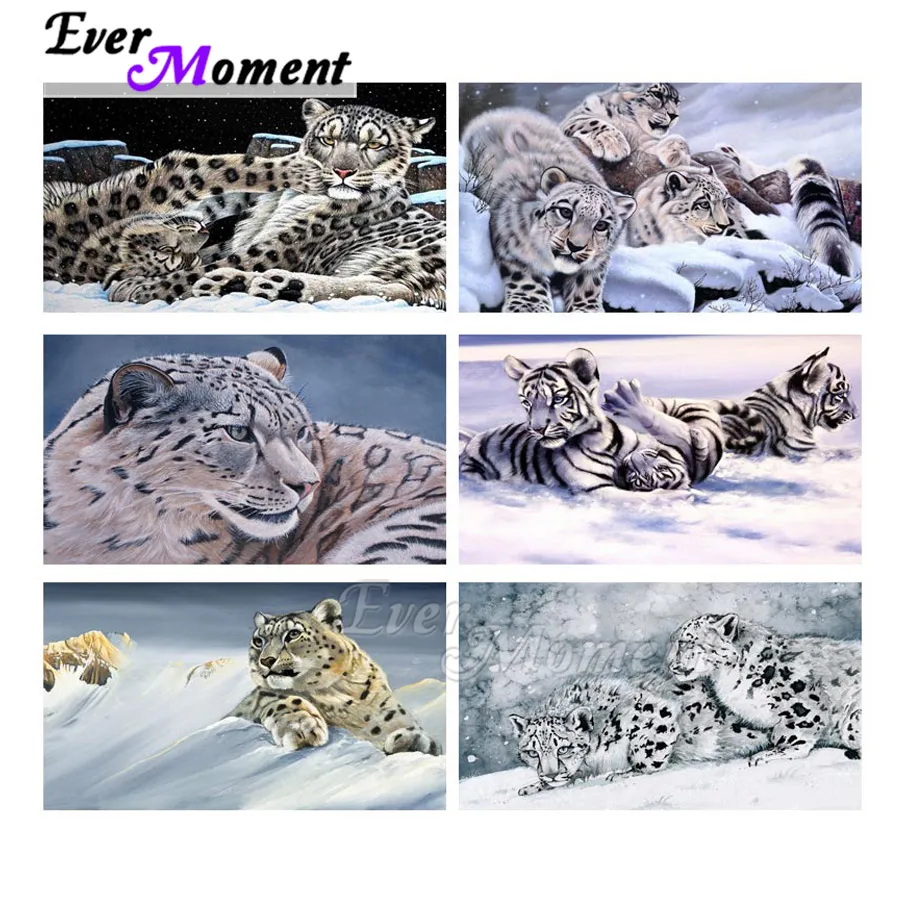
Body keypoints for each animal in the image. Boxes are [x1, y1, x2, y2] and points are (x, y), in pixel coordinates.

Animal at [230, 598, 441, 755]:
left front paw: (412, 740)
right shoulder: (255, 700)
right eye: (258, 641)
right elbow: (278, 698)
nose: (266, 660)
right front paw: (302, 727)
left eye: (293, 634)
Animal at [461, 109, 636, 312]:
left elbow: (589, 279)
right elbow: (526, 274)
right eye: (566, 212)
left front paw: (585, 308)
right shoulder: (509, 236)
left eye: (601, 225)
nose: (575, 246)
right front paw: (529, 306)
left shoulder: (597, 262)